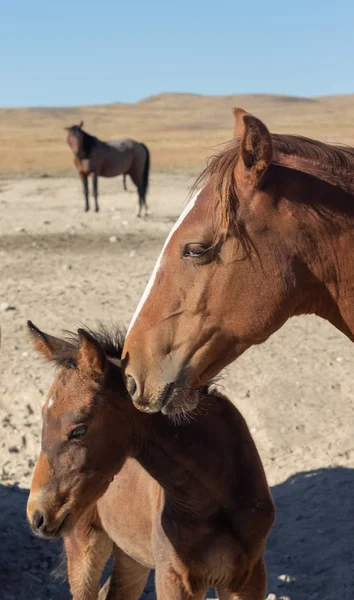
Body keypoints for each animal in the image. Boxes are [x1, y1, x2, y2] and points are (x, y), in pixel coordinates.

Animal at [27, 324, 274, 600]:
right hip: (85, 543)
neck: (214, 500)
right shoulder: (174, 577)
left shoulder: (248, 576)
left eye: (79, 430)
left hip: (132, 554)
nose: (37, 516)